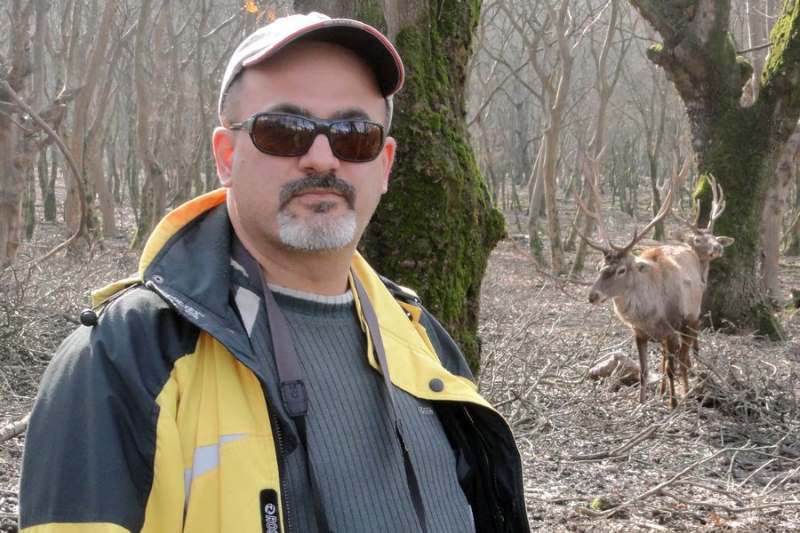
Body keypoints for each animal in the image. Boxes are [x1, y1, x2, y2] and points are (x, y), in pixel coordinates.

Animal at [577, 157, 705, 408]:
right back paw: (663, 391)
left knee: (684, 358)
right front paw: (642, 402)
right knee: (666, 359)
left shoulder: (671, 328)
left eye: (621, 270)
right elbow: (646, 371)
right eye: (600, 267)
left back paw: (685, 392)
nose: (592, 295)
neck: (649, 315)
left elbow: (672, 368)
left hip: (692, 318)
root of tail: (690, 250)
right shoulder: (639, 333)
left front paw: (673, 404)